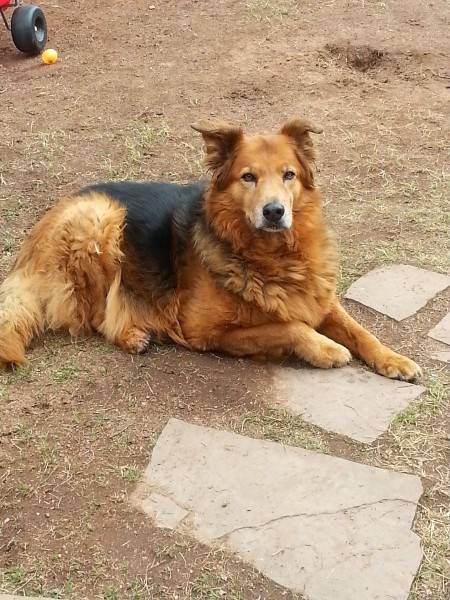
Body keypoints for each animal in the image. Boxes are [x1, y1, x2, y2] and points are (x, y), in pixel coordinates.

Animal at [0, 118, 422, 382]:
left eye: (289, 175)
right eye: (248, 177)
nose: (274, 211)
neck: (271, 255)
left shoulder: (317, 297)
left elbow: (361, 331)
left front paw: (394, 359)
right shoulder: (206, 330)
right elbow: (289, 326)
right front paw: (326, 348)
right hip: (100, 220)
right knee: (97, 316)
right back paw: (133, 334)